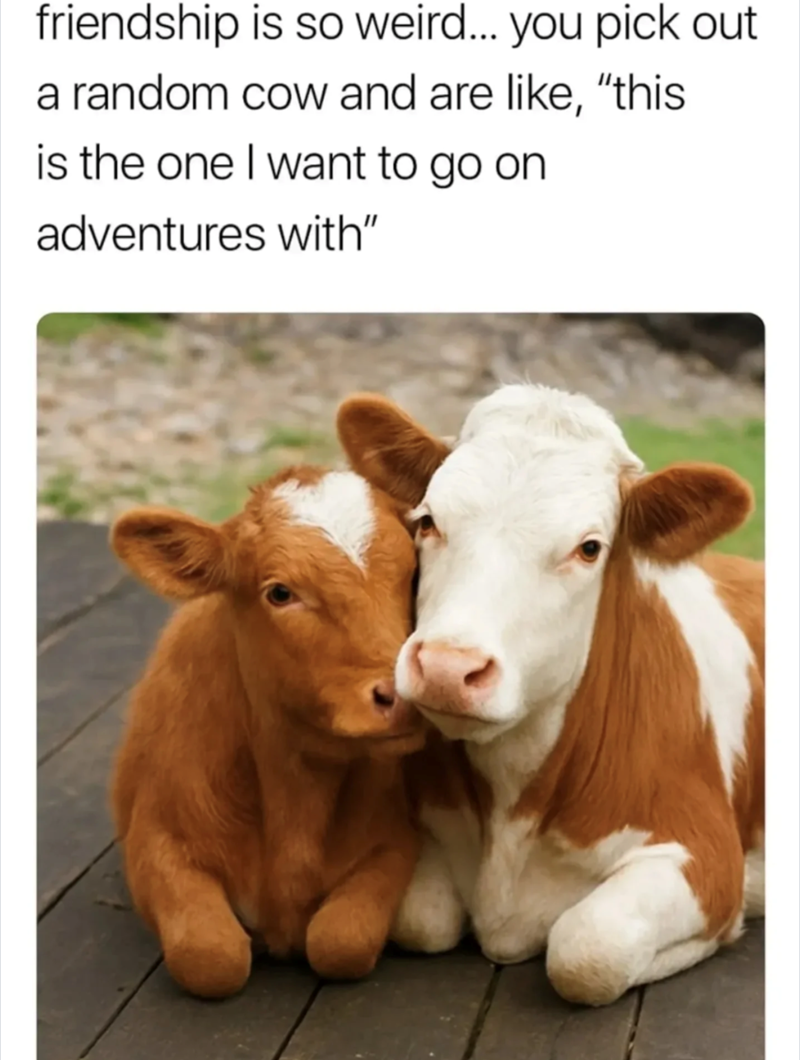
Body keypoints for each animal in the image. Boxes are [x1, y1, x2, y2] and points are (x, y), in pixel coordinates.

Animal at [109, 464, 426, 999]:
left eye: (413, 573)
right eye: (280, 592)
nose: (402, 696)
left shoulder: (396, 842)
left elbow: (339, 941)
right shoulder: (154, 840)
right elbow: (211, 956)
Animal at [337, 383, 764, 1007]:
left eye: (589, 548)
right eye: (428, 521)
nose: (446, 667)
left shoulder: (707, 854)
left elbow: (587, 950)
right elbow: (421, 917)